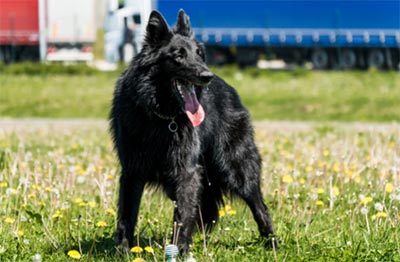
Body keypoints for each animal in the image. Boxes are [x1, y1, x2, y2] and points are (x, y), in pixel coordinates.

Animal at [111, 9, 276, 252]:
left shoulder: (186, 171)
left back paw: (271, 242)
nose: (207, 76)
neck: (162, 117)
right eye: (178, 55)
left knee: (259, 206)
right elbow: (126, 215)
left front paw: (179, 249)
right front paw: (123, 250)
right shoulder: (132, 171)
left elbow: (182, 215)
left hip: (236, 168)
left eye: (199, 54)